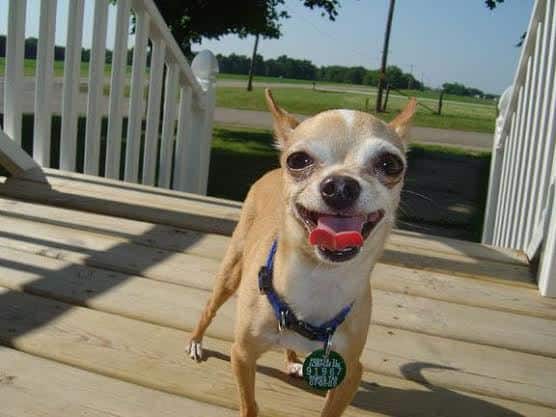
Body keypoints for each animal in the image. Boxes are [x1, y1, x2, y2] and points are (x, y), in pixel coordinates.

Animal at [189, 90, 414, 416]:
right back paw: (196, 341)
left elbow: (330, 411)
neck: (320, 279)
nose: (341, 185)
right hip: (230, 272)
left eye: (390, 164)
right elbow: (250, 404)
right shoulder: (242, 355)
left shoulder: (350, 374)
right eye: (298, 160)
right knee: (209, 307)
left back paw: (293, 359)